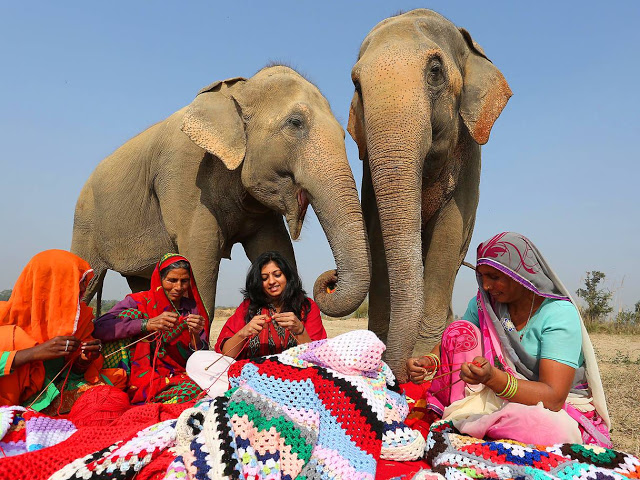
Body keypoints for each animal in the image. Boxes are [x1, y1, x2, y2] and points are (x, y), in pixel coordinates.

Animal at [71, 65, 371, 339]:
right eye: (295, 123)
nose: (331, 278)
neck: (238, 91)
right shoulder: (186, 176)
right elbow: (201, 254)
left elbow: (275, 246)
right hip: (85, 222)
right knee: (87, 284)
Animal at [347, 9, 512, 381]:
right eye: (357, 85)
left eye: (435, 70)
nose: (401, 372)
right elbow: (377, 236)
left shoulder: (469, 161)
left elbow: (448, 236)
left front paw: (426, 362)